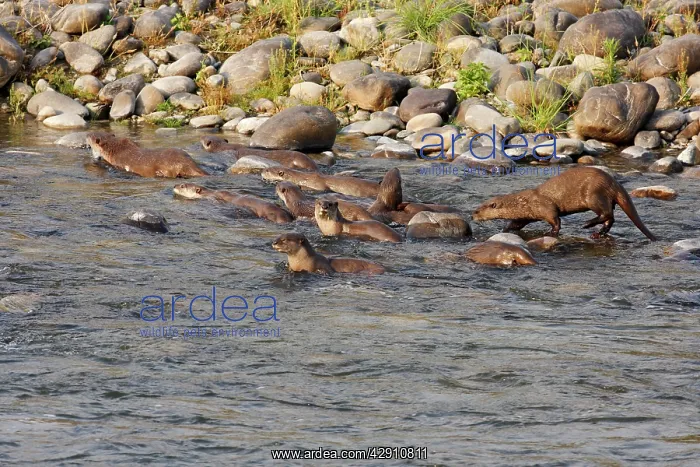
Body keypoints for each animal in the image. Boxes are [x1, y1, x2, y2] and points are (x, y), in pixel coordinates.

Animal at [472, 166, 658, 241]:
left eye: (478, 209)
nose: (472, 215)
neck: (523, 203)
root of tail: (613, 182)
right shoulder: (526, 215)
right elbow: (515, 224)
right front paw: (504, 230)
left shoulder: (545, 207)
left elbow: (556, 220)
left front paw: (551, 233)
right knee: (610, 218)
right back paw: (597, 233)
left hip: (594, 195)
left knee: (606, 213)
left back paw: (587, 225)